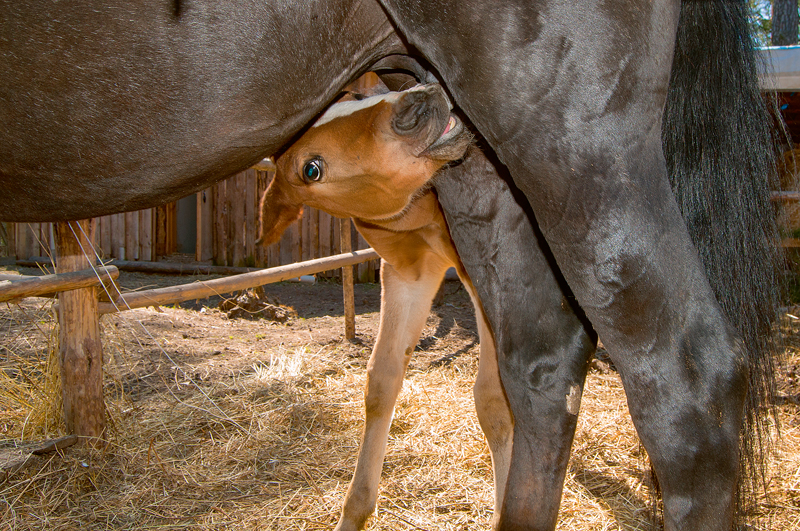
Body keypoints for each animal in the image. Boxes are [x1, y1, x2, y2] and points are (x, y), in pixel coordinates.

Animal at [260, 83, 516, 531]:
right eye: (311, 170)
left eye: (349, 93)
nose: (415, 104)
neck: (424, 211)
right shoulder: (407, 275)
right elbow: (381, 381)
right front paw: (354, 512)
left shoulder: (483, 272)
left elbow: (492, 400)